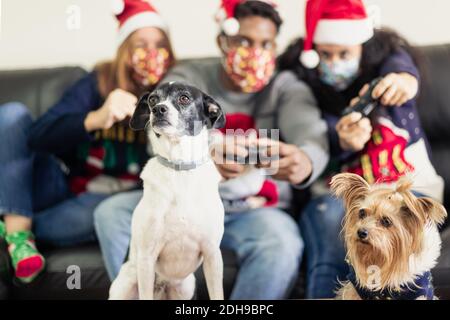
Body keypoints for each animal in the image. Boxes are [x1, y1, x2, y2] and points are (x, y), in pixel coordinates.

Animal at [108, 80, 227, 300]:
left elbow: (217, 293)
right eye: (152, 99)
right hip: (127, 282)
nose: (158, 109)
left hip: (185, 287)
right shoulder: (147, 258)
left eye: (184, 98)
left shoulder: (212, 254)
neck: (179, 167)